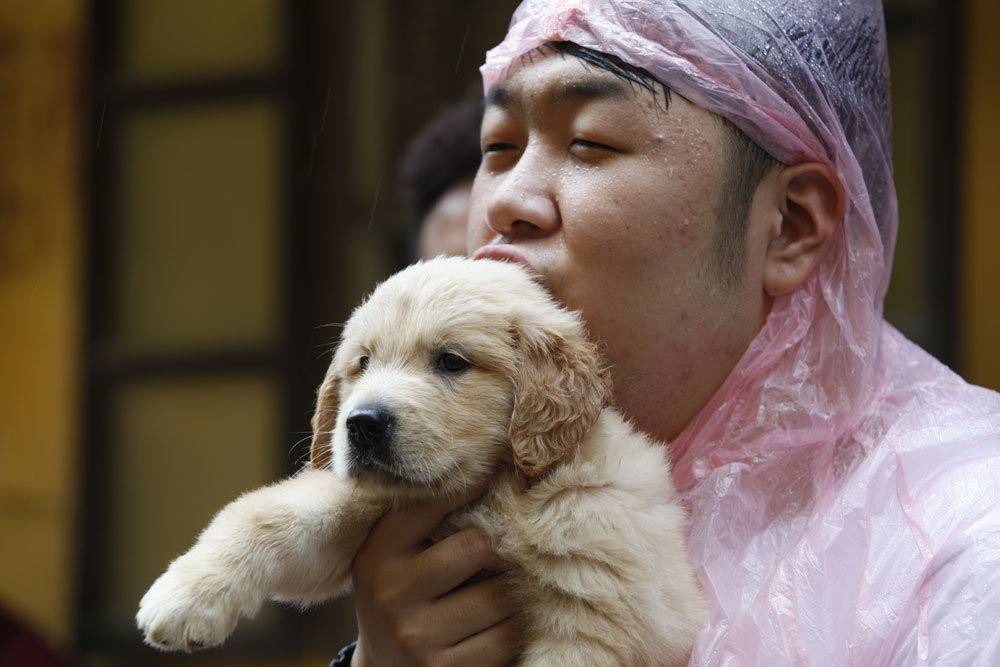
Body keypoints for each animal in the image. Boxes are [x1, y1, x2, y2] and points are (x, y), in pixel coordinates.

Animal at [137, 258, 708, 664]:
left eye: (451, 362)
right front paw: (184, 597)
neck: (498, 489)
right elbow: (265, 515)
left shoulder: (598, 612)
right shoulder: (370, 508)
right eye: (362, 364)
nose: (361, 424)